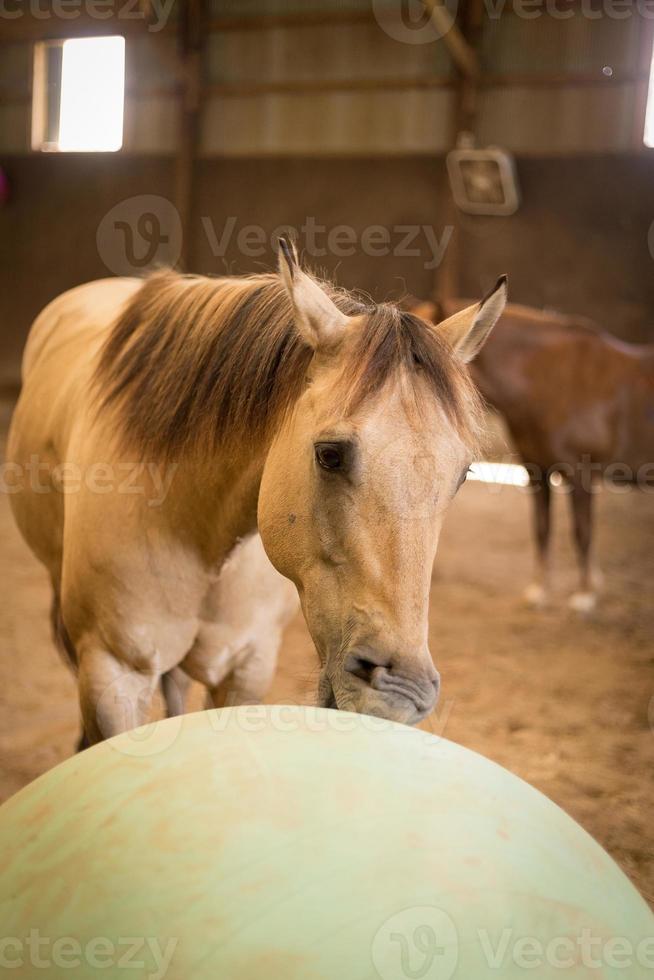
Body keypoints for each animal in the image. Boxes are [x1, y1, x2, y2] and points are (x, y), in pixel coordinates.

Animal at [7, 247, 508, 744]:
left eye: (462, 475)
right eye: (329, 455)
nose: (400, 692)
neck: (196, 530)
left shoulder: (246, 668)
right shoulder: (113, 675)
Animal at [412, 296, 652, 612]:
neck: (551, 380)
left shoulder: (581, 475)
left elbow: (582, 532)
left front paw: (586, 595)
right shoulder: (537, 470)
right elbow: (541, 529)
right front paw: (540, 591)